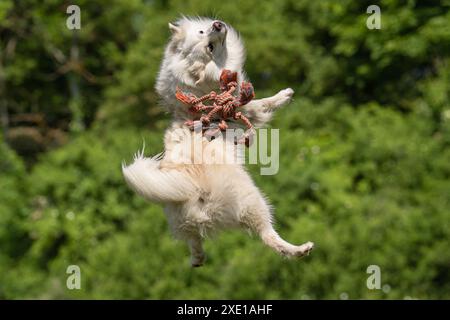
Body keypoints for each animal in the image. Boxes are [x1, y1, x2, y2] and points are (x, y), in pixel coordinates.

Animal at [121, 18, 314, 268]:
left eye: (203, 31)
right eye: (209, 47)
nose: (217, 24)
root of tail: (191, 191)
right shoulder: (245, 109)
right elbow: (262, 104)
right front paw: (285, 95)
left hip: (181, 221)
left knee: (193, 241)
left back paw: (197, 259)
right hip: (251, 200)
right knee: (268, 235)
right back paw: (300, 249)